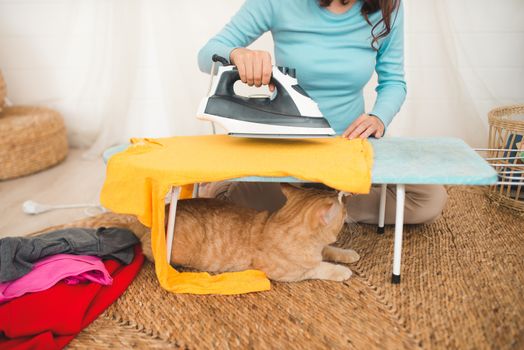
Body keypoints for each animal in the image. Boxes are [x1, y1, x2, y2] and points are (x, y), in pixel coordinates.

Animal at [141, 183, 358, 282]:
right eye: (344, 210)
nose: (348, 203)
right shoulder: (289, 273)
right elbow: (319, 267)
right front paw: (341, 270)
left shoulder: (321, 249)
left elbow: (330, 249)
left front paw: (348, 254)